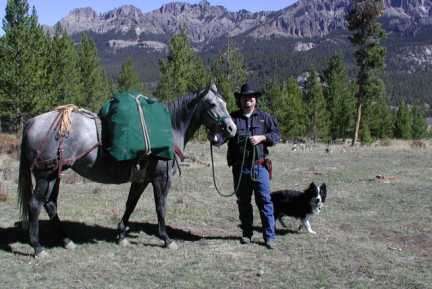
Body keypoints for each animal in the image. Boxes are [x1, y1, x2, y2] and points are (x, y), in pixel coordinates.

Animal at [17, 83, 236, 256]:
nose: (232, 128)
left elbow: (130, 204)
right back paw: (38, 247)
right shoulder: (161, 178)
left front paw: (121, 234)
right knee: (35, 204)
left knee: (50, 204)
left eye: (225, 103)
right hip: (46, 176)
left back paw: (66, 240)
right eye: (212, 104)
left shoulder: (141, 179)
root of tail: (31, 122)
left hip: (55, 175)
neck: (170, 129)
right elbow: (160, 207)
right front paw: (166, 239)